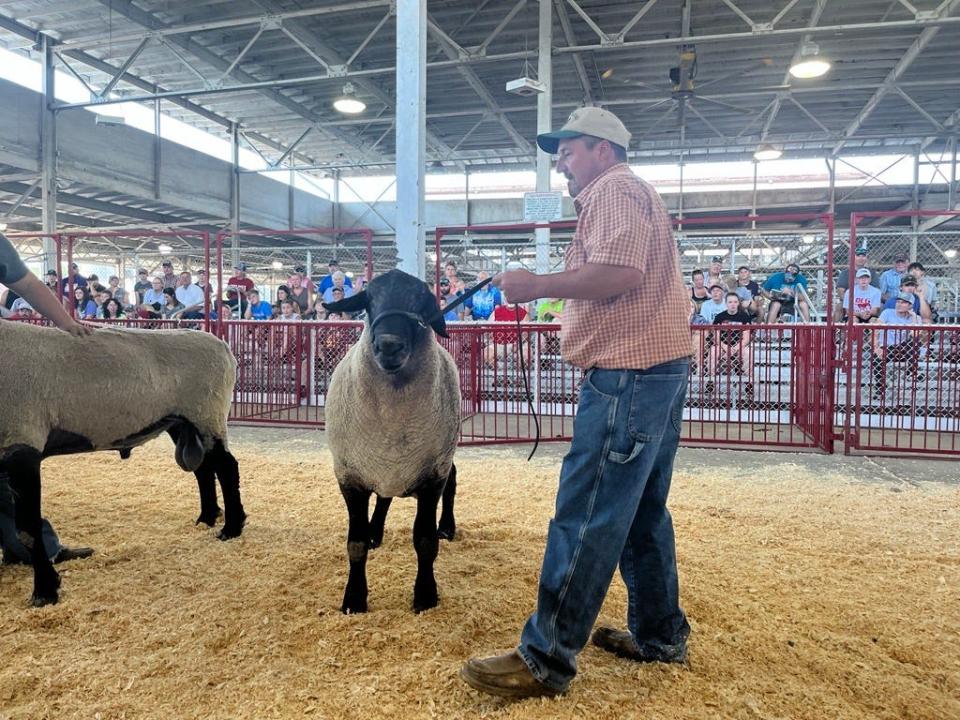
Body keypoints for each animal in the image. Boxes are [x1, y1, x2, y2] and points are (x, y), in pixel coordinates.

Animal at [0, 320, 248, 608]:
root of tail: (224, 348)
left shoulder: (22, 444)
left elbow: (28, 530)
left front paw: (45, 591)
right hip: (182, 422)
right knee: (204, 469)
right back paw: (207, 518)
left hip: (207, 414)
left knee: (227, 468)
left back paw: (231, 528)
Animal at [324, 268, 464, 612]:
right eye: (369, 300)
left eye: (421, 302)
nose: (389, 346)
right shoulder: (349, 476)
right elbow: (356, 543)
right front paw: (354, 599)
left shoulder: (433, 473)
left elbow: (425, 542)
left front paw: (425, 596)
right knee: (384, 496)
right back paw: (376, 531)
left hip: (448, 448)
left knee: (453, 480)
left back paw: (447, 526)